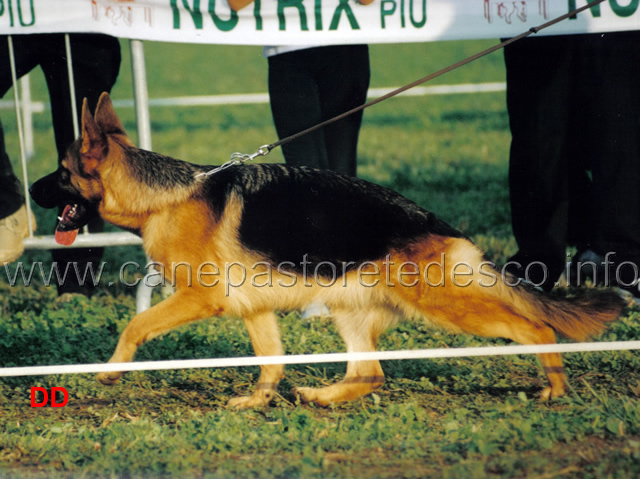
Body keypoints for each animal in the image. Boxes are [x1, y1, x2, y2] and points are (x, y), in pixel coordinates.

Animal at [31, 92, 624, 406]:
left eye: (60, 173)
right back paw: (319, 398)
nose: (29, 193)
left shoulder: (201, 300)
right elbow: (270, 360)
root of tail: (443, 227)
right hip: (349, 309)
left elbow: (135, 324)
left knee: (537, 328)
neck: (165, 197)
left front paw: (110, 372)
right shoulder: (254, 309)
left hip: (448, 307)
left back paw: (554, 389)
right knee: (369, 373)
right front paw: (259, 401)